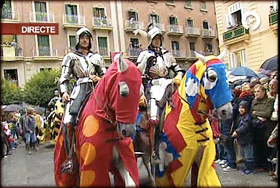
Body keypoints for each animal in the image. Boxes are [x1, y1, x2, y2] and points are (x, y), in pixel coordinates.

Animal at [53, 53, 143, 187]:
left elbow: (131, 182)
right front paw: (65, 95)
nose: (129, 131)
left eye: (141, 93)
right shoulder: (92, 163)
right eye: (123, 93)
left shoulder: (121, 158)